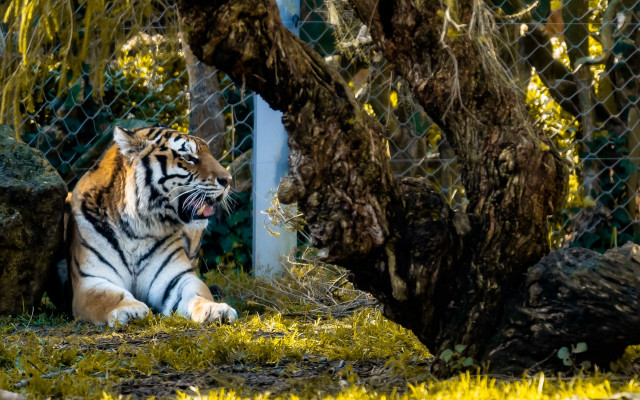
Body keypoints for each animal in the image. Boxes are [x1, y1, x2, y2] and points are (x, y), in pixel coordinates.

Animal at [65, 125, 238, 326]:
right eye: (188, 157)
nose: (228, 180)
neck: (136, 227)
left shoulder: (177, 277)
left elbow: (198, 291)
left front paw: (215, 309)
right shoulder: (91, 280)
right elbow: (109, 296)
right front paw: (131, 309)